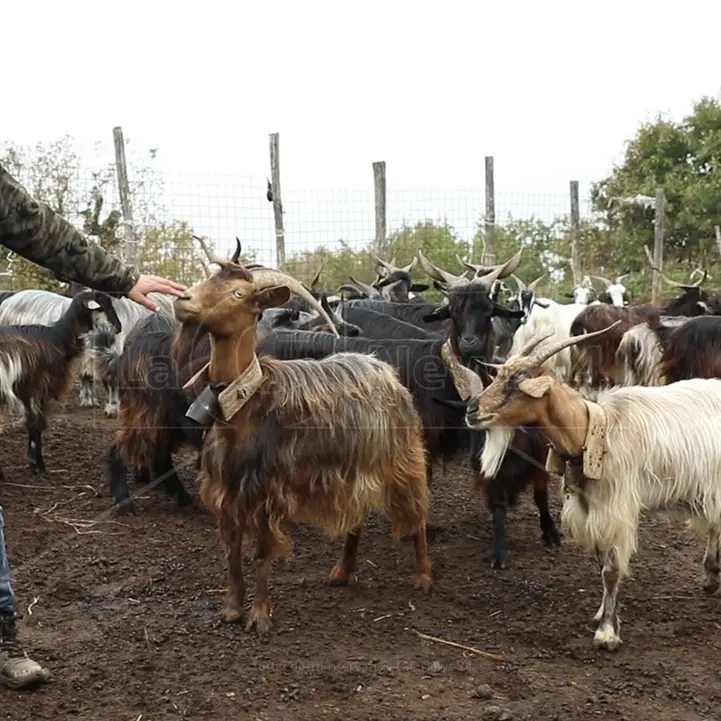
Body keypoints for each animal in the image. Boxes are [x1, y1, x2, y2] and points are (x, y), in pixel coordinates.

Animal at [173, 255, 434, 636]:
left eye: (238, 293)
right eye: (209, 279)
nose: (183, 300)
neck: (245, 405)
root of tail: (382, 367)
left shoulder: (268, 491)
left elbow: (262, 554)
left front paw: (260, 618)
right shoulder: (227, 492)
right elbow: (232, 552)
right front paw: (232, 610)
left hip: (402, 459)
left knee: (418, 514)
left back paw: (424, 577)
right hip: (353, 468)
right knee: (356, 515)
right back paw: (342, 572)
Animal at [464, 324, 721, 648]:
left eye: (517, 383)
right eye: (499, 376)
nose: (471, 410)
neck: (595, 432)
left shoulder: (616, 509)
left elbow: (611, 569)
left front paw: (607, 632)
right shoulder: (591, 508)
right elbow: (601, 563)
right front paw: (602, 613)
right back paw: (711, 576)